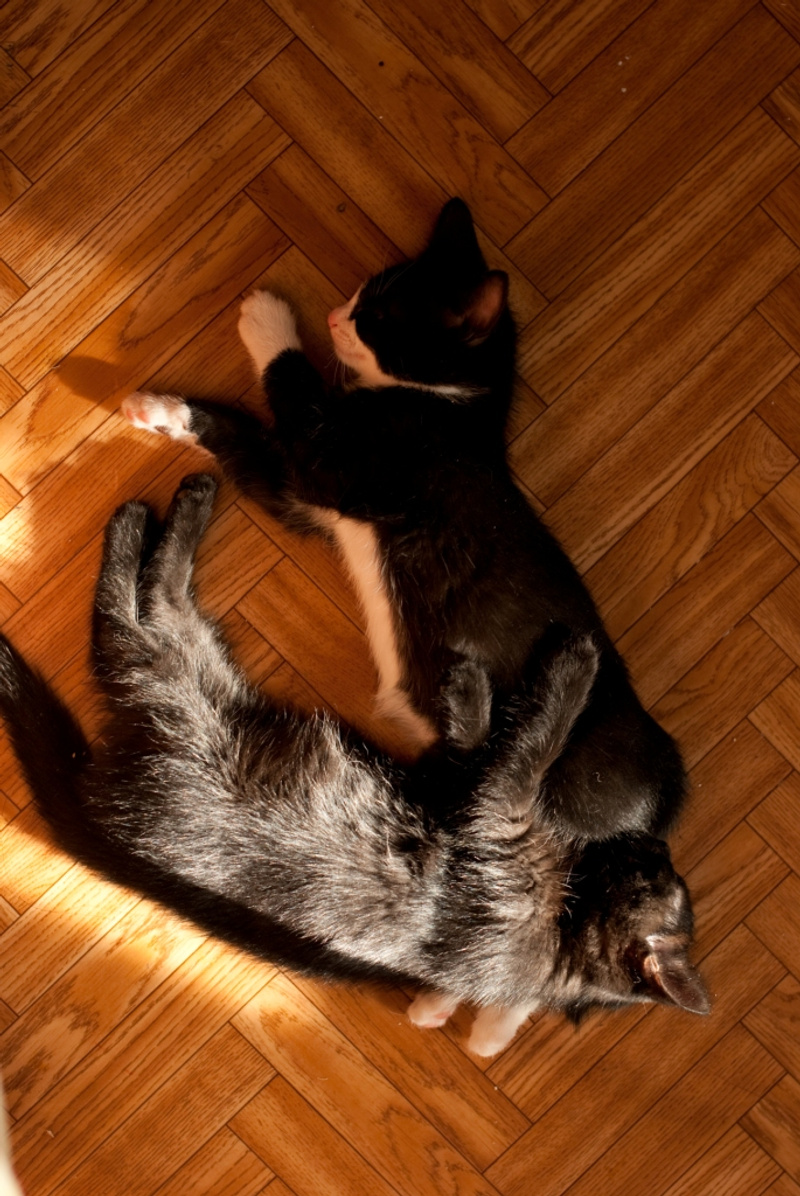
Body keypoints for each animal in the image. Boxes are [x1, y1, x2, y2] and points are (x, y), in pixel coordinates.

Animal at [0, 475, 708, 1057]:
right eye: (662, 870)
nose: (655, 845)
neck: (561, 923)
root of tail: (94, 811)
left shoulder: (492, 811)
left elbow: (533, 740)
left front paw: (574, 665)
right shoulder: (456, 790)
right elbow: (484, 743)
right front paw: (472, 691)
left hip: (176, 680)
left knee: (134, 613)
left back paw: (150, 516)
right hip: (194, 669)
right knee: (146, 605)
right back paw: (170, 509)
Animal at [121, 198, 687, 844]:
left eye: (376, 315)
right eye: (361, 295)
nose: (334, 315)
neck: (445, 405)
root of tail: (662, 795)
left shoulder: (339, 462)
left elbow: (292, 381)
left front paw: (267, 317)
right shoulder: (302, 491)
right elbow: (238, 432)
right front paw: (160, 409)